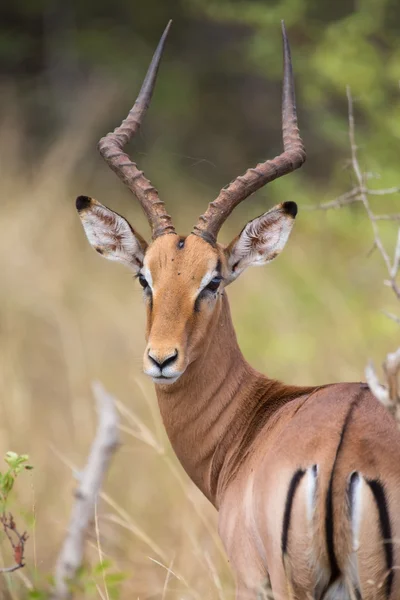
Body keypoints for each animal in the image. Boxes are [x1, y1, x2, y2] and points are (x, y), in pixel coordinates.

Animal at [76, 21, 400, 596]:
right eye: (144, 278)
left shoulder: (251, 579)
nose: (162, 359)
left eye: (213, 281)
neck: (256, 421)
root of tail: (348, 445)